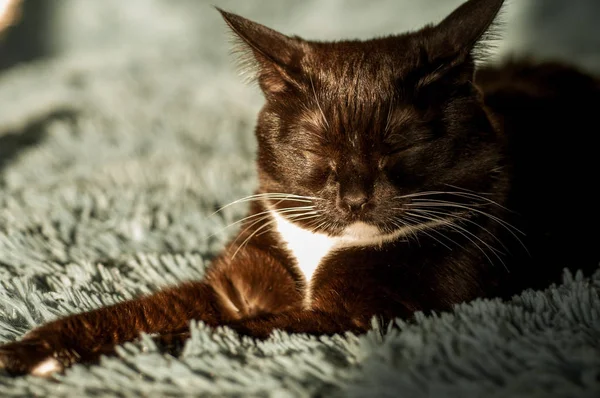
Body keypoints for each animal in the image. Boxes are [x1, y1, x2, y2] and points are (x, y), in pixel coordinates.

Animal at [1, 0, 600, 376]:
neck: (320, 248)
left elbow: (234, 329)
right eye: (316, 150)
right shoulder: (232, 284)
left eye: (400, 148)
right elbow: (141, 312)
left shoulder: (360, 315)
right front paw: (35, 350)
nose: (355, 197)